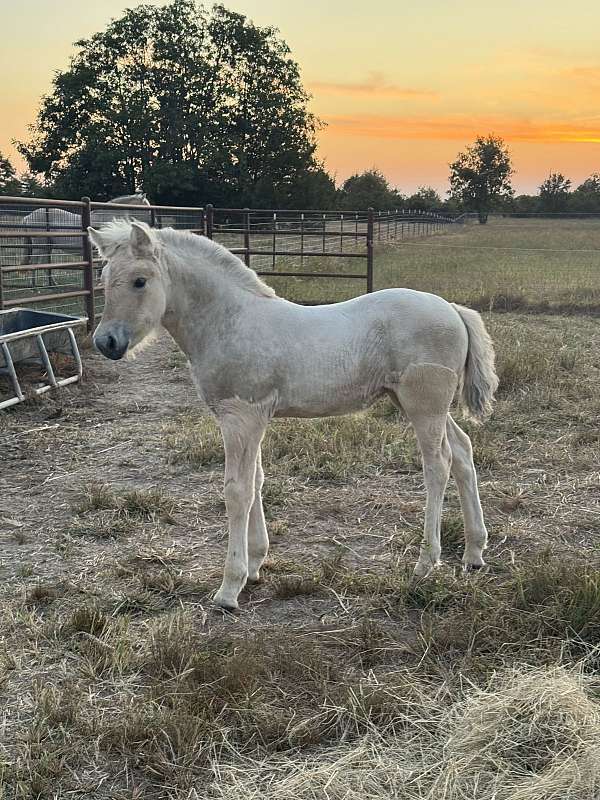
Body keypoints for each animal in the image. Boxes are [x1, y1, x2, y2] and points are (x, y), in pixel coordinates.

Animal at [21, 194, 151, 287]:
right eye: (147, 208)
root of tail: (28, 216)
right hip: (40, 246)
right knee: (36, 262)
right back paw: (35, 286)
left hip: (48, 246)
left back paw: (51, 283)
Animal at [88, 219, 499, 611]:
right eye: (105, 279)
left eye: (140, 280)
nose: (106, 342)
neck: (230, 321)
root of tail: (453, 309)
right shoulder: (249, 419)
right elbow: (256, 481)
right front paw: (255, 565)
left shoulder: (241, 416)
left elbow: (237, 491)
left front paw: (229, 588)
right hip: (420, 405)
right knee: (462, 452)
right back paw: (474, 552)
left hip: (424, 406)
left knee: (438, 465)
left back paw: (427, 562)